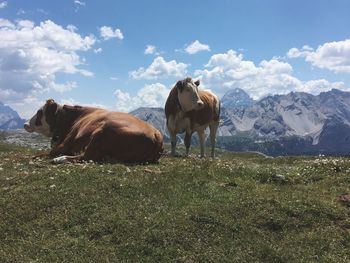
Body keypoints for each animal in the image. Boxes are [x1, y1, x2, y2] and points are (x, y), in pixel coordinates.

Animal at [24, 100, 164, 164]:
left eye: (39, 112)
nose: (25, 124)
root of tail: (156, 134)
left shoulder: (66, 142)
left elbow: (44, 153)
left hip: (102, 132)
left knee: (86, 157)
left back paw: (60, 159)